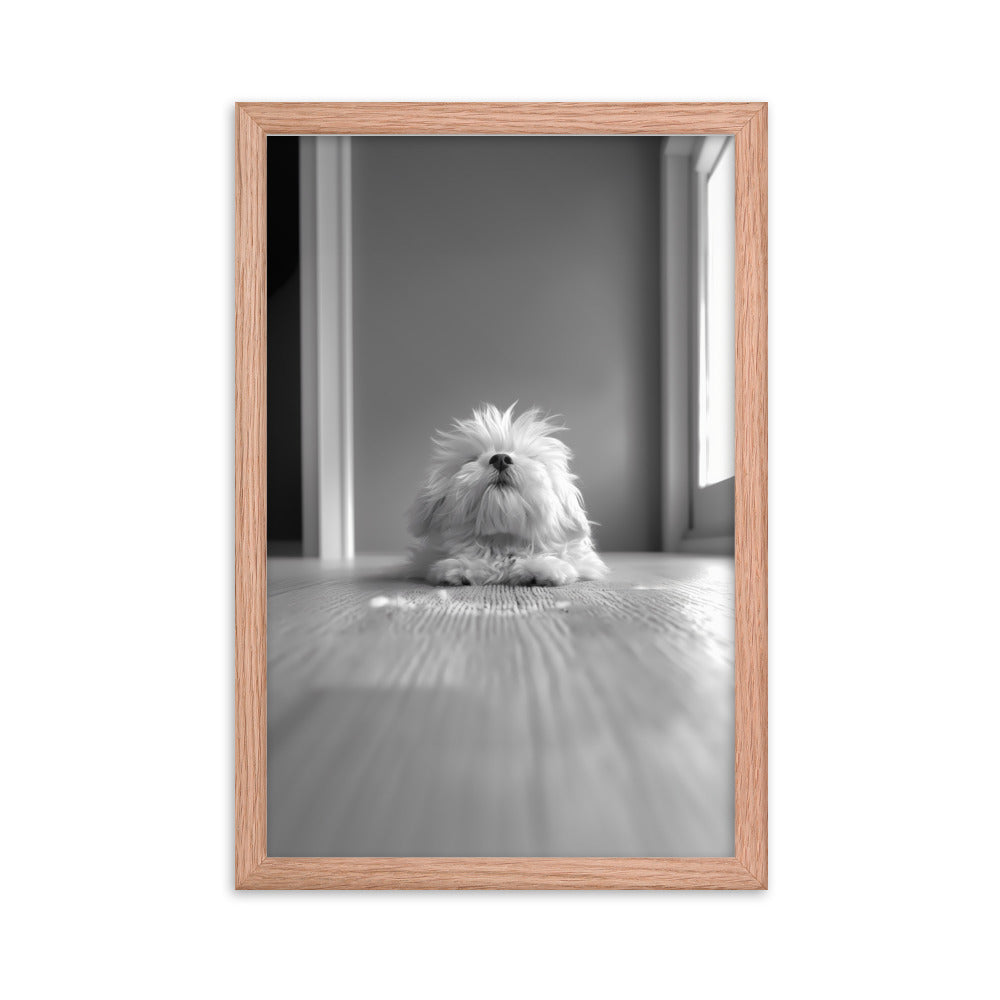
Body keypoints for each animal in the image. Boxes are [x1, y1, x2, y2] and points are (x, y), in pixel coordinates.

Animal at [408, 404, 608, 584]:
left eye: (531, 458)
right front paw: (462, 568)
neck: (503, 541)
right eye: (472, 459)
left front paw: (543, 567)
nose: (500, 458)